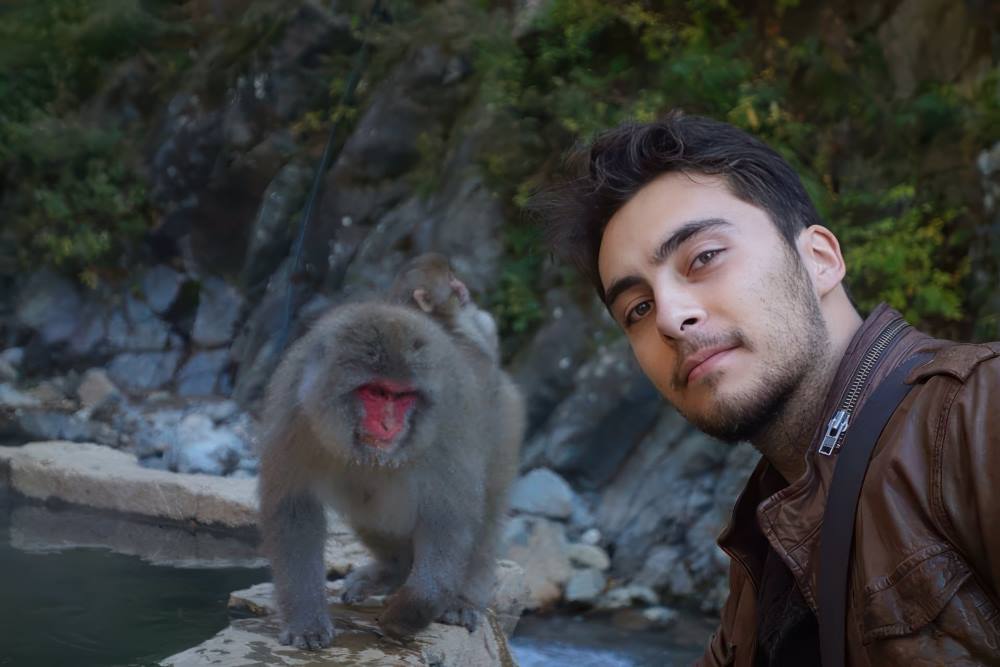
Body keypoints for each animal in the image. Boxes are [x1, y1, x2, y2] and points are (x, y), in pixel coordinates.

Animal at [258, 294, 524, 648]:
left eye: (403, 396)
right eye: (376, 392)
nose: (389, 426)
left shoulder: (448, 423)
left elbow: (448, 515)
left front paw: (412, 610)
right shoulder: (292, 414)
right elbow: (294, 508)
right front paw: (306, 622)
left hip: (504, 425)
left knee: (487, 512)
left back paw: (463, 599)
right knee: (369, 501)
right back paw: (392, 572)